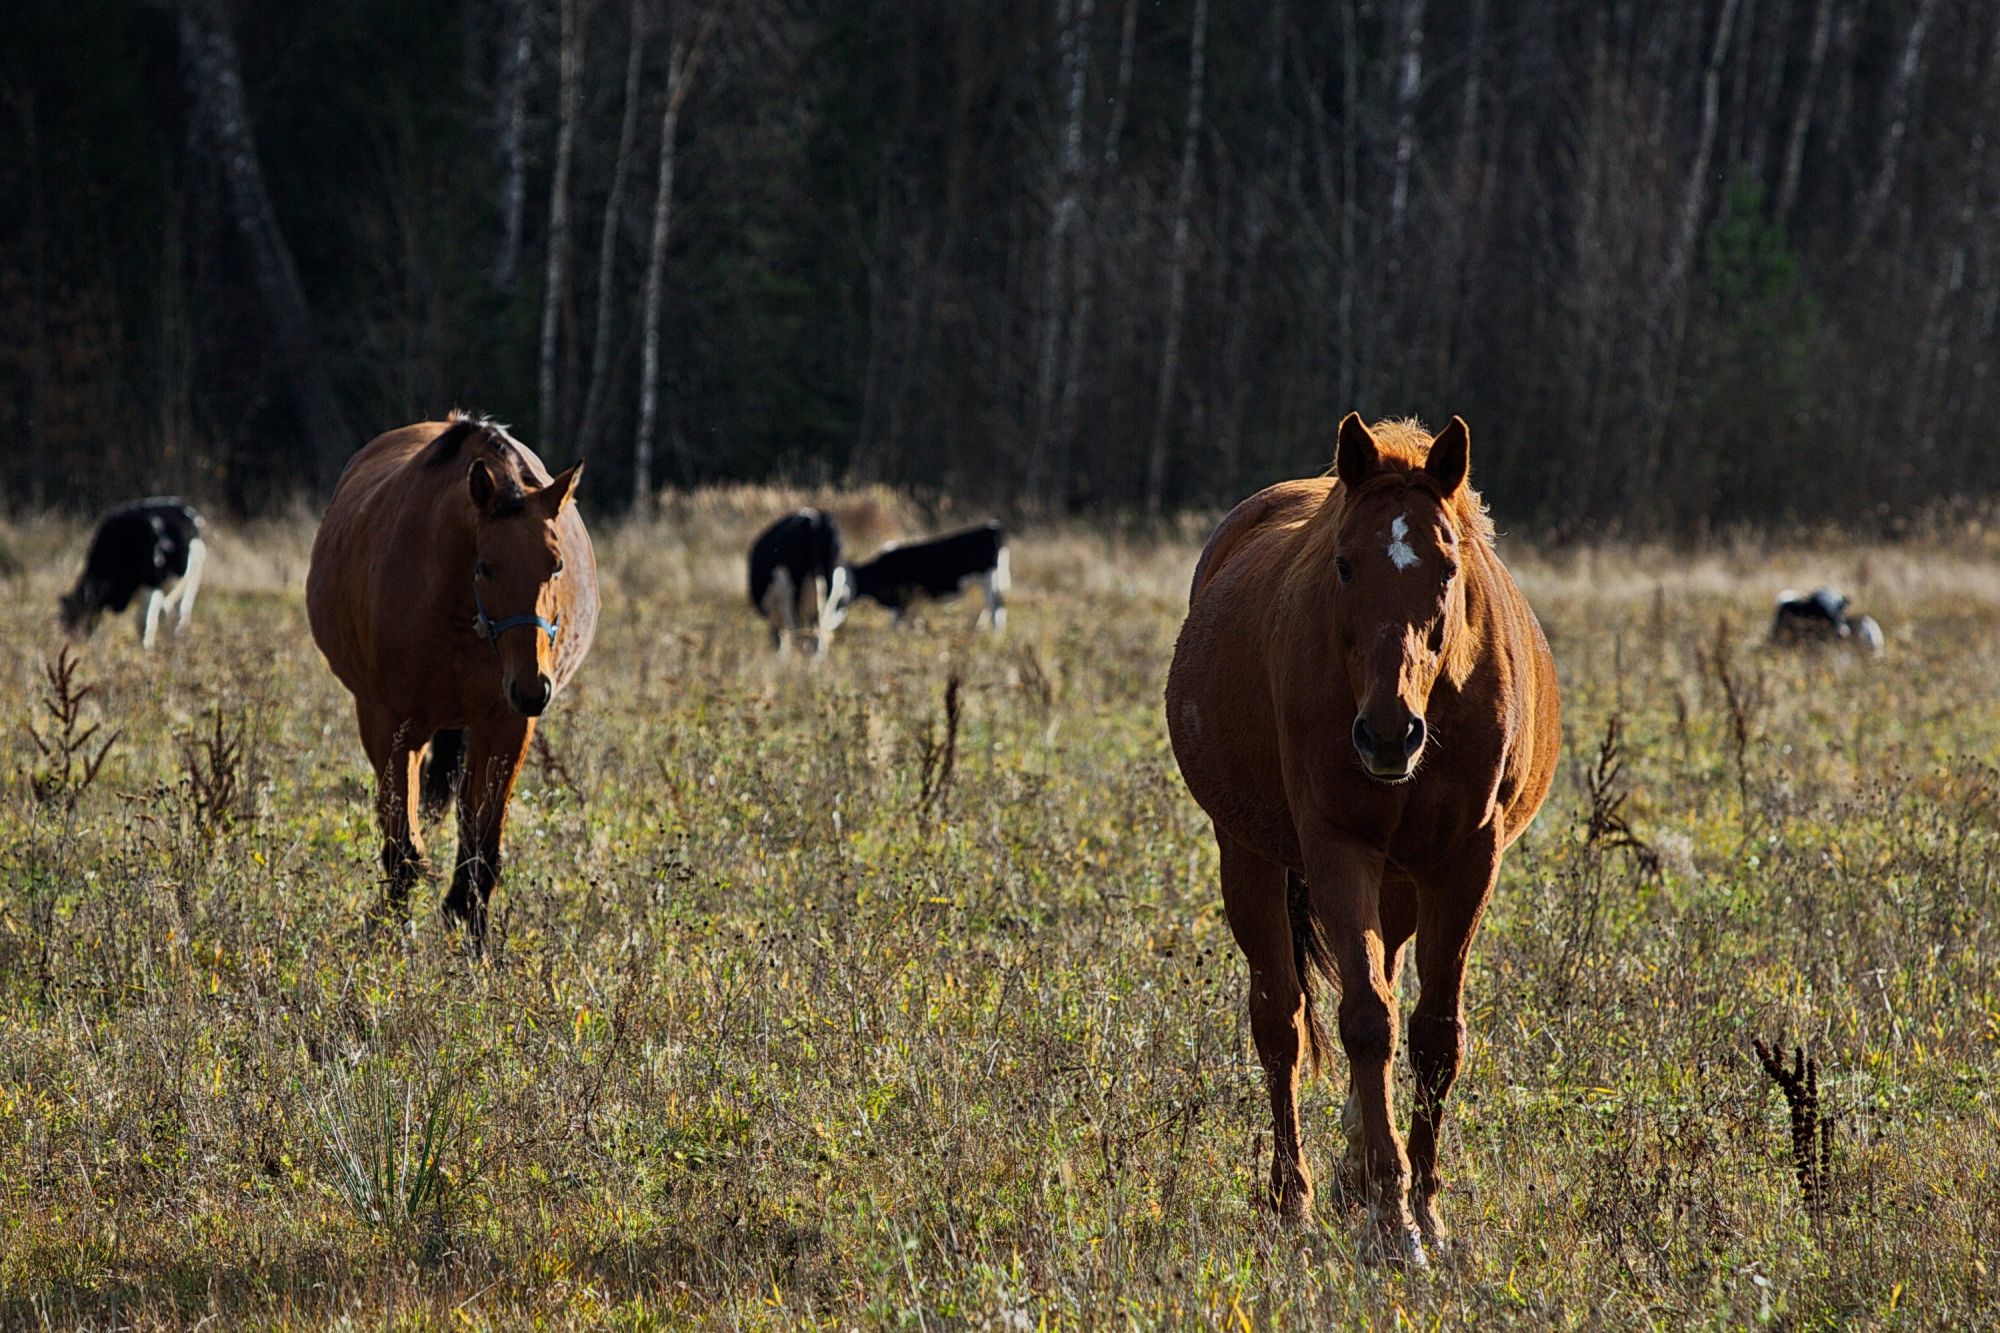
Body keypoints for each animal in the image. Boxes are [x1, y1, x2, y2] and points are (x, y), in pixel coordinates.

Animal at [60, 496, 205, 644]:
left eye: (80, 616)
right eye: (64, 621)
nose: (71, 642)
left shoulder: (154, 582)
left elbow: (150, 621)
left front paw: (148, 648)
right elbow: (140, 622)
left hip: (196, 565)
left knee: (185, 607)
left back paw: (180, 633)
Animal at [304, 416, 596, 944]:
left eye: (557, 564)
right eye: (486, 566)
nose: (533, 688)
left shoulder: (504, 725)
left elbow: (481, 847)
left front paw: (472, 938)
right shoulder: (390, 725)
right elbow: (403, 848)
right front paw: (391, 936)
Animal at [828, 520, 1008, 628]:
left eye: (840, 585)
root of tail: (993, 526)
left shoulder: (900, 600)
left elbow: (896, 625)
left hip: (989, 581)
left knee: (996, 607)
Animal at [1160, 410, 1560, 1264]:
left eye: (1447, 566)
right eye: (1344, 565)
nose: (1386, 733)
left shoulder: (1465, 861)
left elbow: (1434, 1032)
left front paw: (1425, 1205)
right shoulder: (1338, 848)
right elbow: (1366, 1022)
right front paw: (1390, 1214)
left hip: (1400, 887)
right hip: (1250, 859)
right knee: (1279, 1020)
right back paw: (1297, 1197)